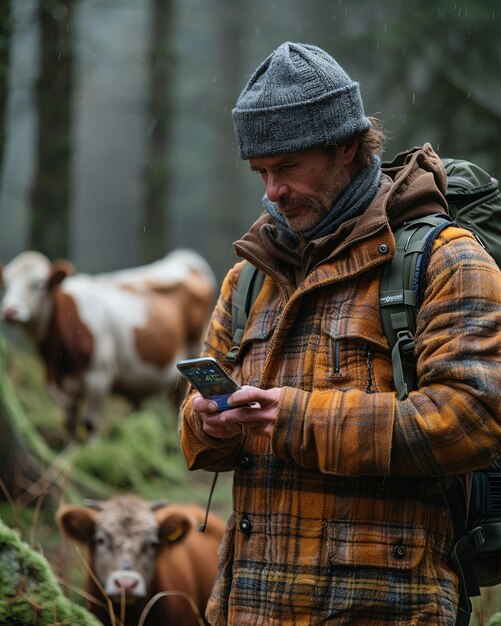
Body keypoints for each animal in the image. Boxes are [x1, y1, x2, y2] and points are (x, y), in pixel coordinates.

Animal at [0, 247, 215, 434]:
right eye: (6, 284)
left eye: (40, 284)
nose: (10, 311)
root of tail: (183, 259)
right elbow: (70, 426)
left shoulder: (98, 378)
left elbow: (90, 425)